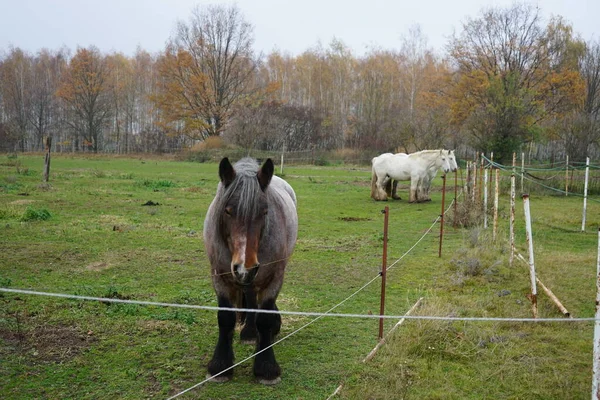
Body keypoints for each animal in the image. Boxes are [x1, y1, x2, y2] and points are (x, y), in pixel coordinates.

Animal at [203, 157, 296, 384]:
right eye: (228, 210)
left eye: (264, 212)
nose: (245, 267)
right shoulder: (220, 276)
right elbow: (225, 318)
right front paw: (220, 366)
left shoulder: (274, 277)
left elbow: (264, 318)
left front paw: (266, 368)